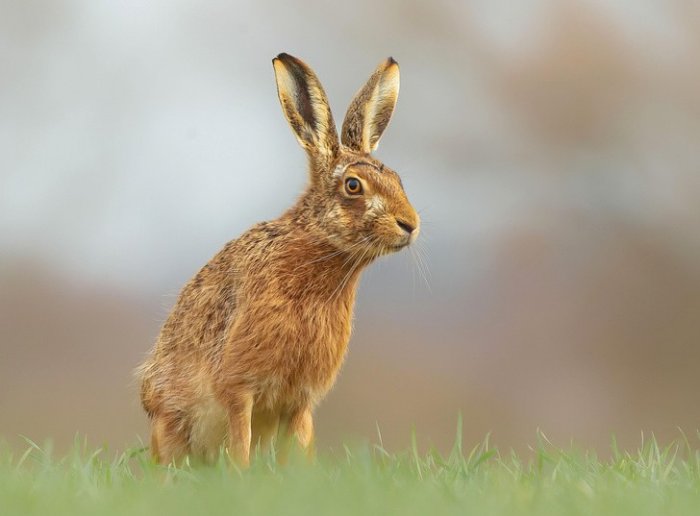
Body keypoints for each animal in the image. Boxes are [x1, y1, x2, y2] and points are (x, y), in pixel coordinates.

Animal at [137, 53, 420, 466]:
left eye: (398, 180)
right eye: (353, 186)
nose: (410, 224)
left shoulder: (300, 402)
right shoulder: (239, 387)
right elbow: (240, 441)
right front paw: (241, 474)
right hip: (171, 420)